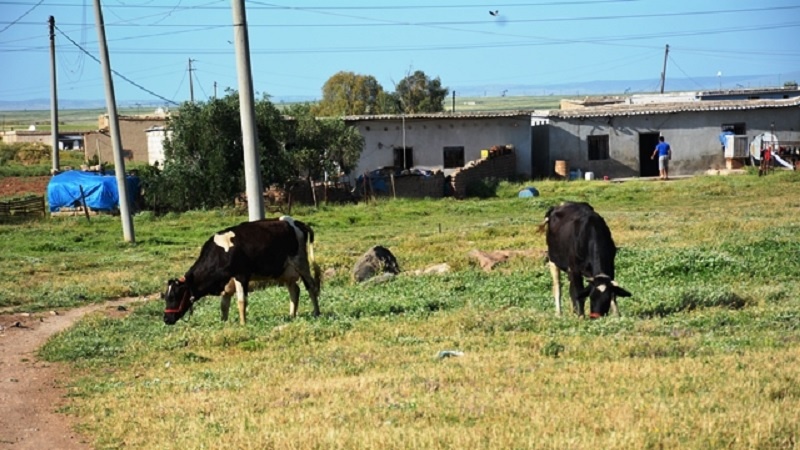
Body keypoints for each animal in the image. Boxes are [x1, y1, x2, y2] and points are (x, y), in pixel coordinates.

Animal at [162, 216, 322, 326]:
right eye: (165, 297)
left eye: (174, 296)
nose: (166, 319)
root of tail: (294, 221)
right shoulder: (226, 284)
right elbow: (224, 306)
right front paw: (223, 323)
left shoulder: (241, 275)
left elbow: (241, 301)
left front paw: (243, 324)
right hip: (285, 271)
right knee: (294, 290)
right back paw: (291, 316)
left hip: (301, 263)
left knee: (311, 286)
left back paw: (316, 313)